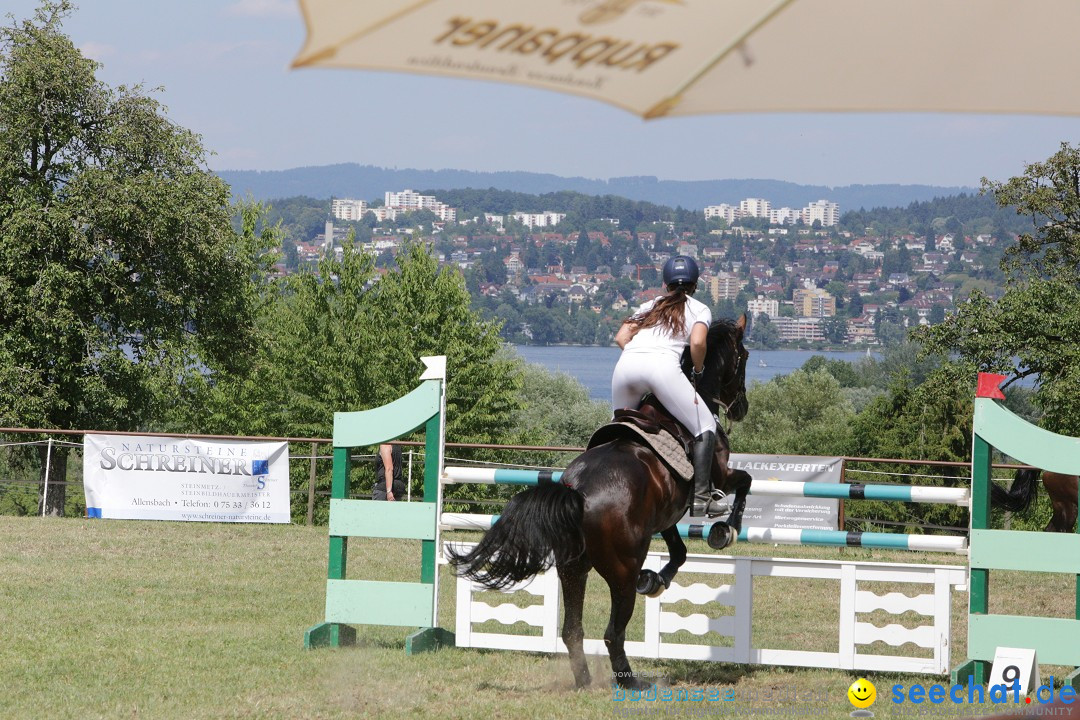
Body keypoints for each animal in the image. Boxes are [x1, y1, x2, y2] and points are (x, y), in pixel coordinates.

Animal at [447, 317, 751, 690]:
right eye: (744, 356)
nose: (741, 407)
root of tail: (577, 491)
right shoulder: (719, 476)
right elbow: (745, 482)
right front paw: (726, 529)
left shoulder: (664, 515)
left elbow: (679, 551)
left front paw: (657, 580)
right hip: (621, 570)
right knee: (612, 632)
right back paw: (629, 681)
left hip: (572, 568)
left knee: (572, 631)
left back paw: (584, 681)